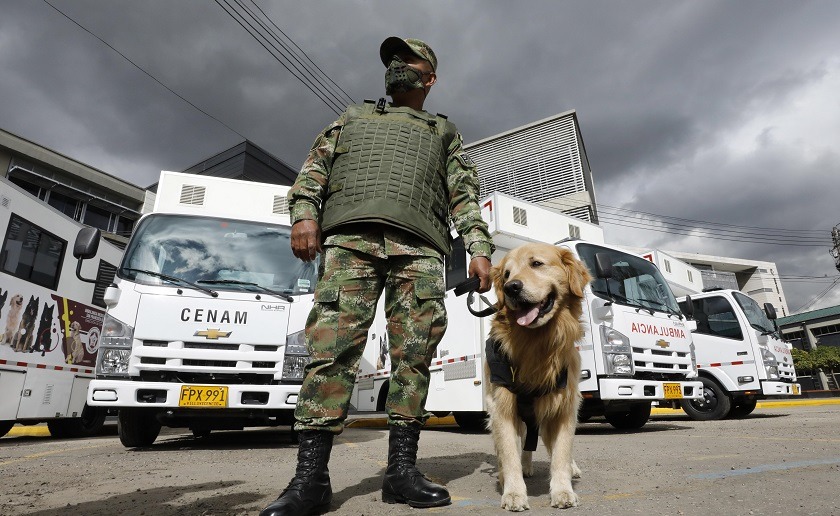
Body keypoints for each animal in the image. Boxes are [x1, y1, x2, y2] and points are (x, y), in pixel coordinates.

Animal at [482, 243, 592, 512]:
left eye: (536, 264)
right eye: (507, 274)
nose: (511, 288)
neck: (537, 344)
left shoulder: (563, 407)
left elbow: (561, 453)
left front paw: (563, 491)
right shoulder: (502, 407)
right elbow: (509, 453)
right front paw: (513, 492)